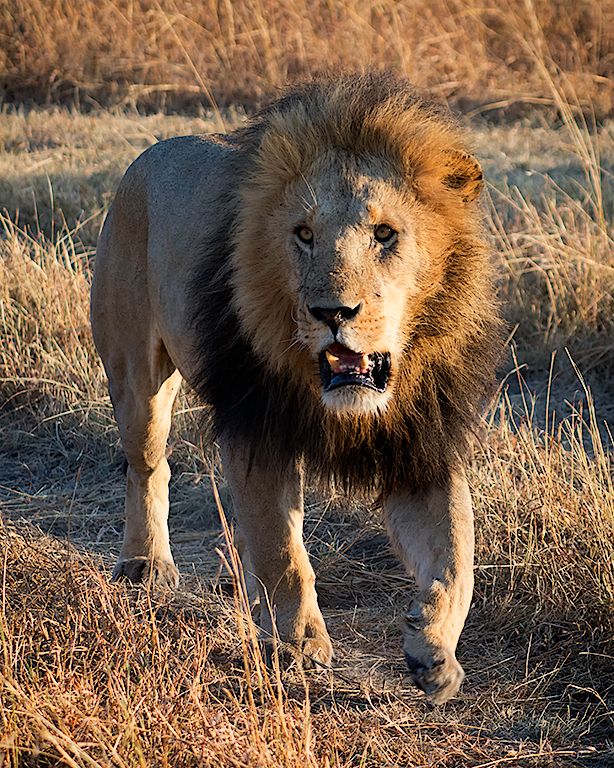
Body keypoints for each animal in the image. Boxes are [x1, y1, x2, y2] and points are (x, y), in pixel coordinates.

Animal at [91, 73, 502, 704]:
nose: (333, 312)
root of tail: (151, 151)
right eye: (303, 235)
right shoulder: (259, 434)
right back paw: (146, 565)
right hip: (137, 379)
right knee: (148, 466)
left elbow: (458, 555)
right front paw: (303, 646)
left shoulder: (419, 444)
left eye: (386, 234)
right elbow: (283, 552)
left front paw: (435, 653)